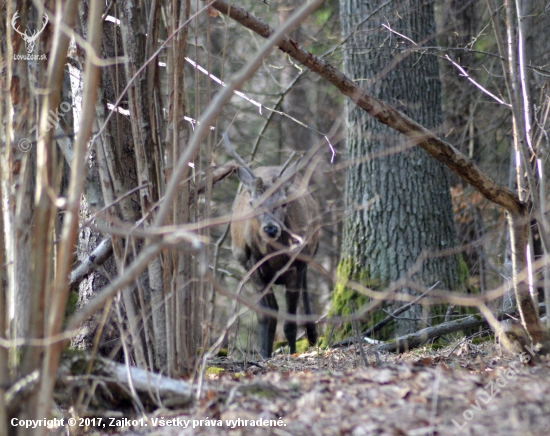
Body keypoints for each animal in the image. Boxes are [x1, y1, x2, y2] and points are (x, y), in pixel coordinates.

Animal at [224, 135, 320, 358]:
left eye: (284, 202)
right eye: (252, 202)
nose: (270, 228)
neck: (275, 256)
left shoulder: (296, 267)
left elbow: (290, 322)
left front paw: (292, 353)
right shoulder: (252, 265)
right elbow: (265, 316)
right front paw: (263, 354)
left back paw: (312, 335)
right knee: (273, 310)